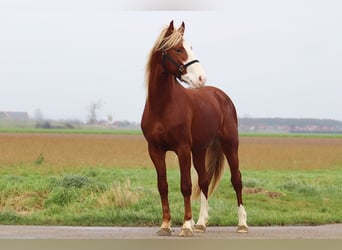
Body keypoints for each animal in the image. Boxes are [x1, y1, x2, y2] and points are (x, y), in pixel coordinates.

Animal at [140, 21, 247, 236]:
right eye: (178, 49)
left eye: (190, 47)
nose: (201, 78)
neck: (162, 107)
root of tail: (221, 96)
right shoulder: (155, 150)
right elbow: (163, 186)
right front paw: (165, 225)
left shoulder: (182, 149)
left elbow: (186, 185)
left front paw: (186, 225)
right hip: (200, 150)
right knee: (205, 181)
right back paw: (201, 223)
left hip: (230, 145)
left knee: (236, 180)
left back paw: (241, 224)